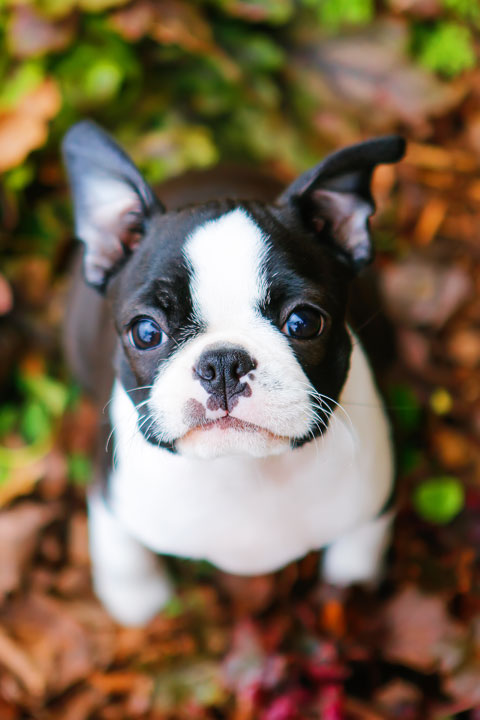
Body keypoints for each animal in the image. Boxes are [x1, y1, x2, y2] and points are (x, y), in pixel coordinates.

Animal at [62, 122, 404, 624]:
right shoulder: (108, 491)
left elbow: (357, 554)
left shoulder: (375, 499)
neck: (243, 468)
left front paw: (350, 590)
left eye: (304, 322)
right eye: (145, 332)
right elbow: (122, 554)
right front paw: (139, 606)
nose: (222, 363)